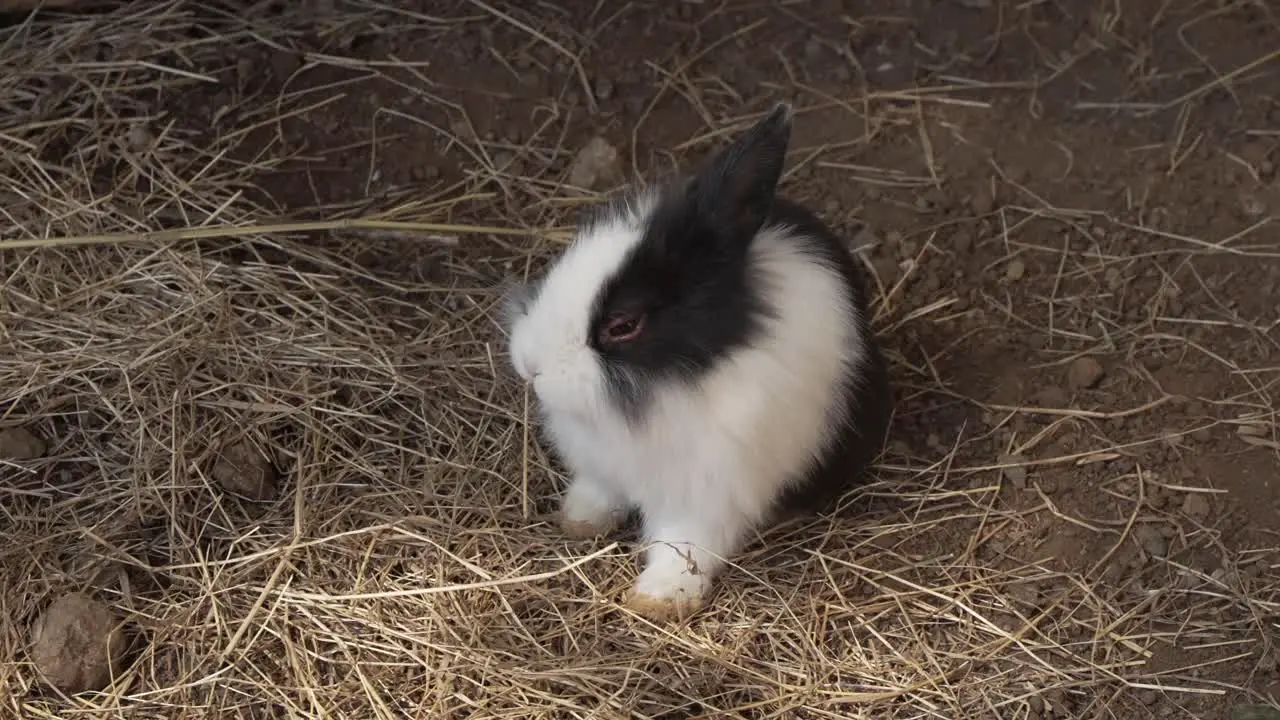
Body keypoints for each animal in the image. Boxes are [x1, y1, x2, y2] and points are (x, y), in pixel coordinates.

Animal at [499, 102, 890, 622]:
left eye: (624, 325)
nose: (529, 366)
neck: (672, 384)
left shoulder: (708, 494)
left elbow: (684, 545)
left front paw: (657, 599)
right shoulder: (603, 467)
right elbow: (599, 493)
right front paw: (579, 521)